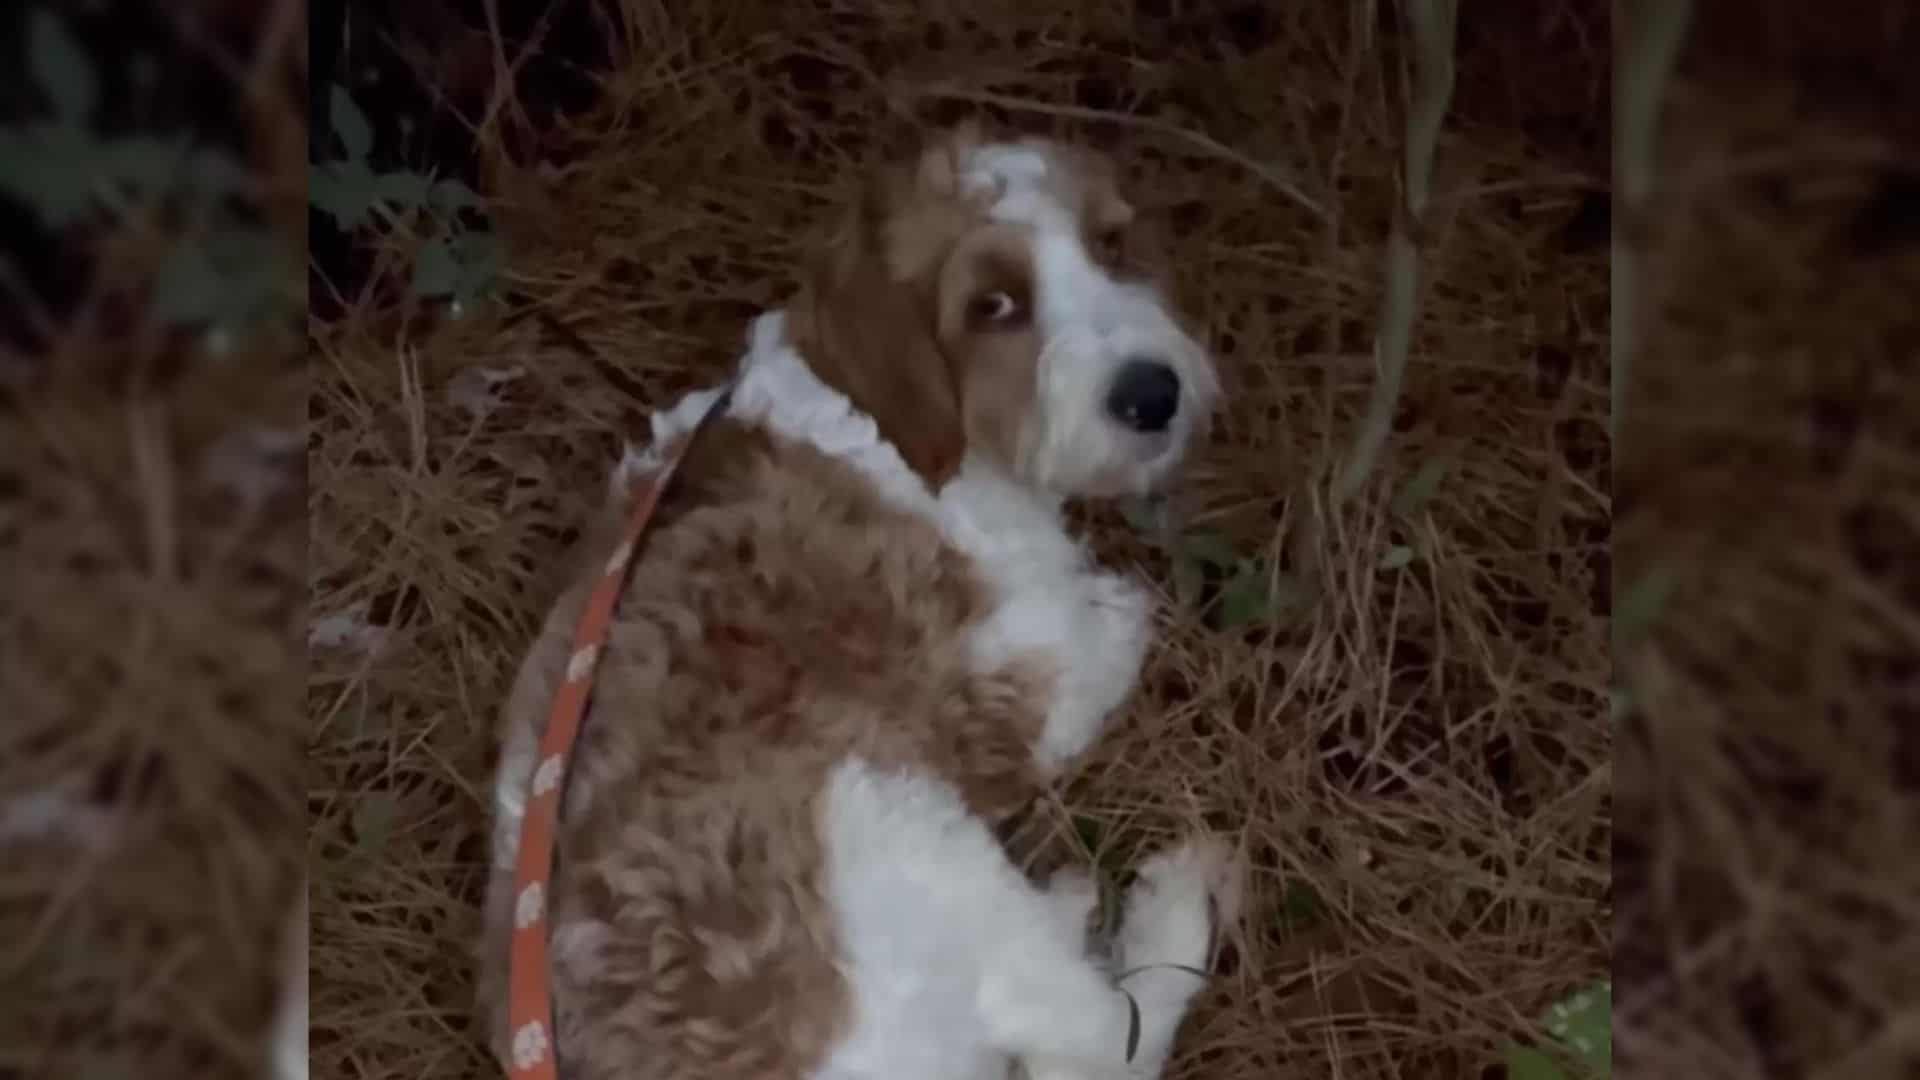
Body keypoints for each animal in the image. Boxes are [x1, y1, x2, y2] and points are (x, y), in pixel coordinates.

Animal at [480, 127, 1228, 1076]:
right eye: (993, 305)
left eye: (1111, 244)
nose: (1153, 394)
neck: (875, 419)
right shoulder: (1016, 687)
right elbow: (1112, 627)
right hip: (901, 823)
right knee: (1105, 1040)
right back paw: (1173, 905)